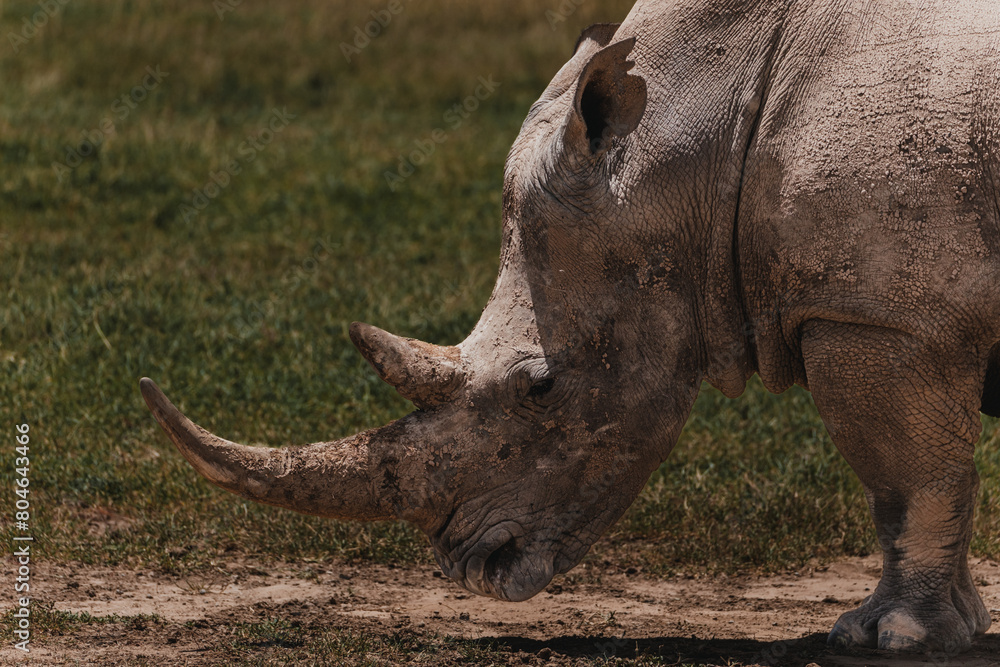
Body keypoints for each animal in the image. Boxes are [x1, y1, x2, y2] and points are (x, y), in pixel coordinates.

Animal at [140, 0, 1000, 654]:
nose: (473, 568)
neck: (693, 141)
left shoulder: (872, 313)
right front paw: (962, 627)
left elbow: (905, 478)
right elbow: (930, 472)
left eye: (541, 386)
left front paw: (889, 637)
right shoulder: (900, 311)